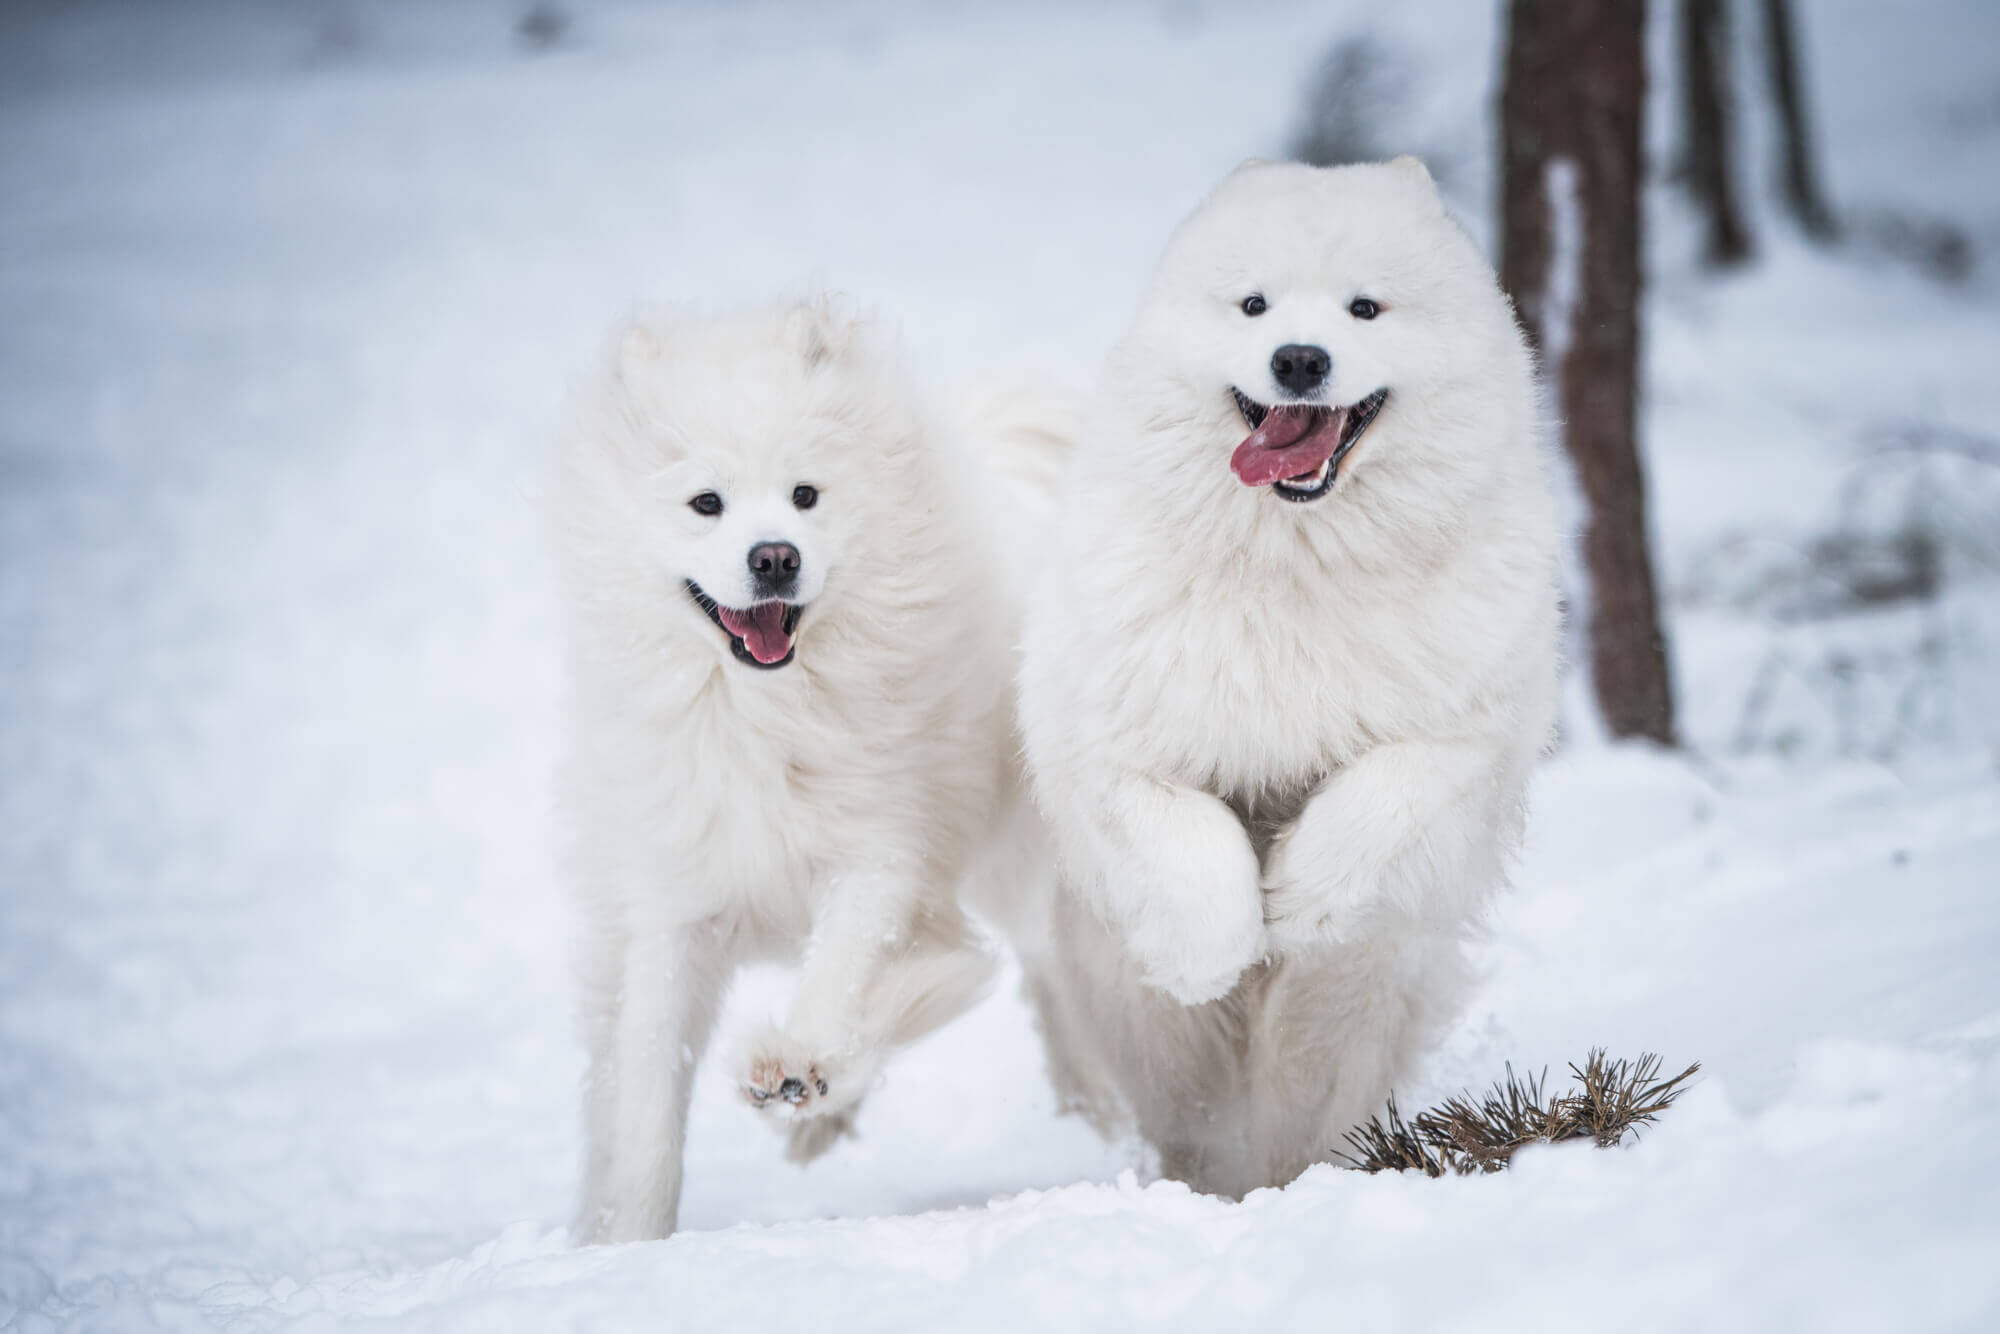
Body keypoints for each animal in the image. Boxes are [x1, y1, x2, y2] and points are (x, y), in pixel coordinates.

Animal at [540, 298, 1056, 1248]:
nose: (775, 556)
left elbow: (844, 967)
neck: (762, 712)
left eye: (806, 495)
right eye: (706, 503)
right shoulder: (674, 906)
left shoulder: (879, 849)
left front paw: (798, 1063)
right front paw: (630, 1240)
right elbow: (648, 1090)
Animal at [1016, 162, 1560, 1192]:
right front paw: (1218, 947)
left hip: (1357, 1005)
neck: (1293, 563)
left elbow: (1379, 799)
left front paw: (1303, 901)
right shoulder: (1115, 744)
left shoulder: (1460, 731)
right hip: (1138, 1019)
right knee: (1196, 1113)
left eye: (1365, 307)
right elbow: (1187, 846)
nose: (1300, 360)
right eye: (1253, 305)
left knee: (1306, 1098)